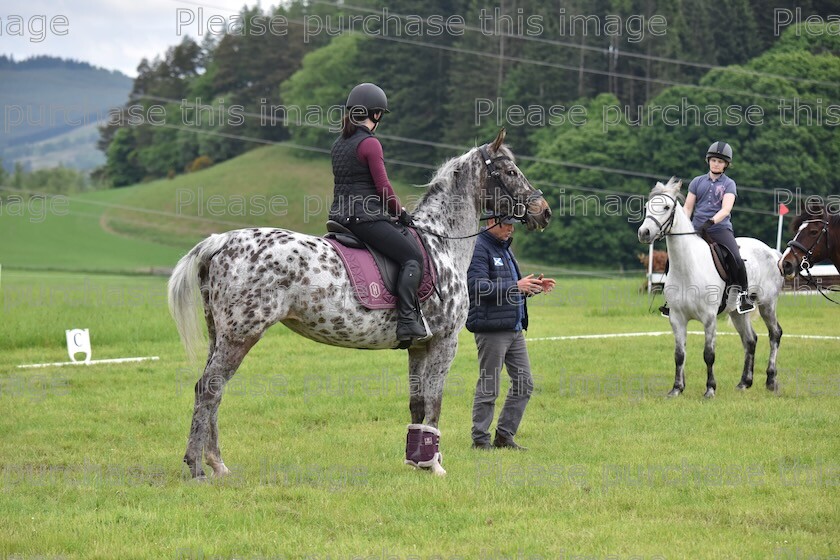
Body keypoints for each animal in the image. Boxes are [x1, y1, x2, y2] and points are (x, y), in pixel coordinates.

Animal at [169, 129, 552, 480]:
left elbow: (416, 404)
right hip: (241, 334)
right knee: (209, 389)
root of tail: (221, 241)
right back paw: (197, 468)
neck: (441, 243)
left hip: (221, 334)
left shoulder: (419, 346)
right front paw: (435, 464)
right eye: (511, 171)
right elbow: (434, 403)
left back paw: (217, 464)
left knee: (213, 390)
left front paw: (415, 461)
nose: (544, 211)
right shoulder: (445, 342)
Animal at [640, 178, 784, 398]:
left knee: (775, 334)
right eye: (647, 207)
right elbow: (679, 355)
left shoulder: (709, 318)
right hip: (738, 312)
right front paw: (676, 389)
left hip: (767, 304)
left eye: (666, 207)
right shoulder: (677, 318)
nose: (644, 233)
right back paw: (744, 382)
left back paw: (771, 381)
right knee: (750, 340)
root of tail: (771, 251)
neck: (688, 267)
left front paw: (710, 389)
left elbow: (709, 354)